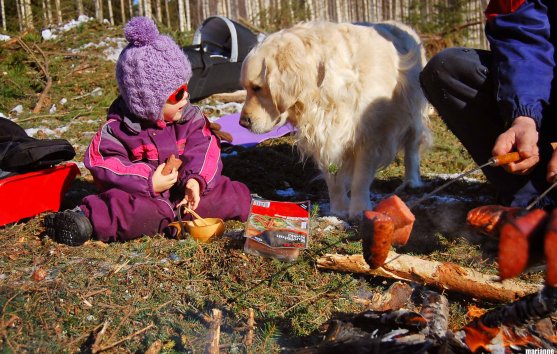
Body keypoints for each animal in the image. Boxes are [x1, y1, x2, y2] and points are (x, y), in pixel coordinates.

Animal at [239, 20, 430, 218]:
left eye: (257, 87)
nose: (242, 122)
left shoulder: (368, 137)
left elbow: (360, 178)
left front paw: (359, 209)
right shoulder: (324, 137)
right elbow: (334, 179)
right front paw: (339, 209)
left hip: (413, 115)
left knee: (412, 149)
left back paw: (412, 181)